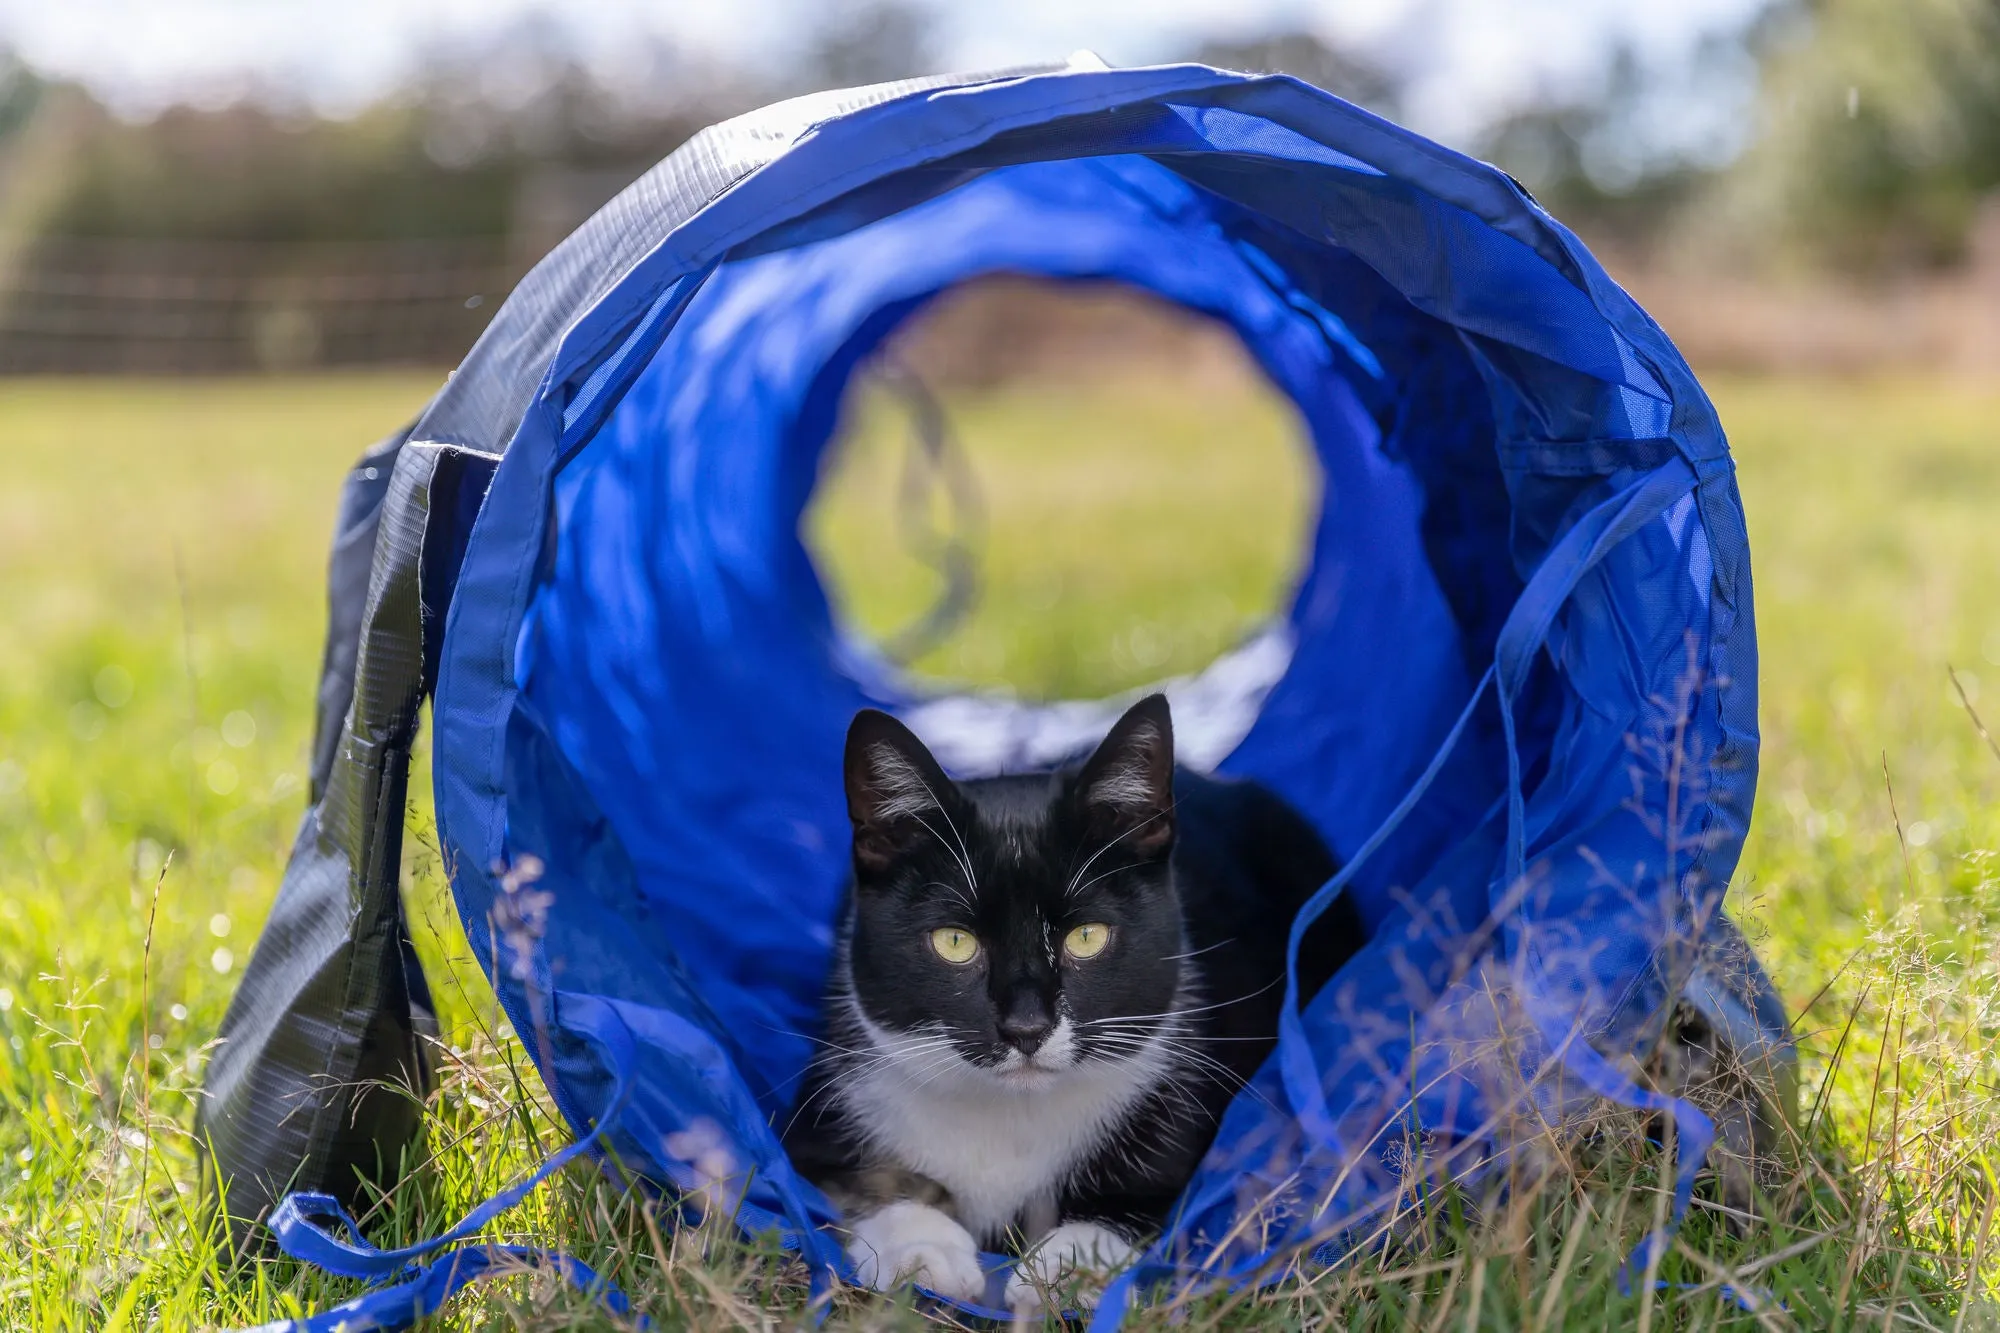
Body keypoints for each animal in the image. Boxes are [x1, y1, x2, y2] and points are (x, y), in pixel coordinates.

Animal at [776, 696, 1360, 1304]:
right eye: (954, 942)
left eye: (1087, 937)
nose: (1026, 1027)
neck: (1012, 1113)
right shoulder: (824, 1115)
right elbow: (867, 1179)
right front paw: (924, 1252)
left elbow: (1138, 1197)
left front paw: (1064, 1270)